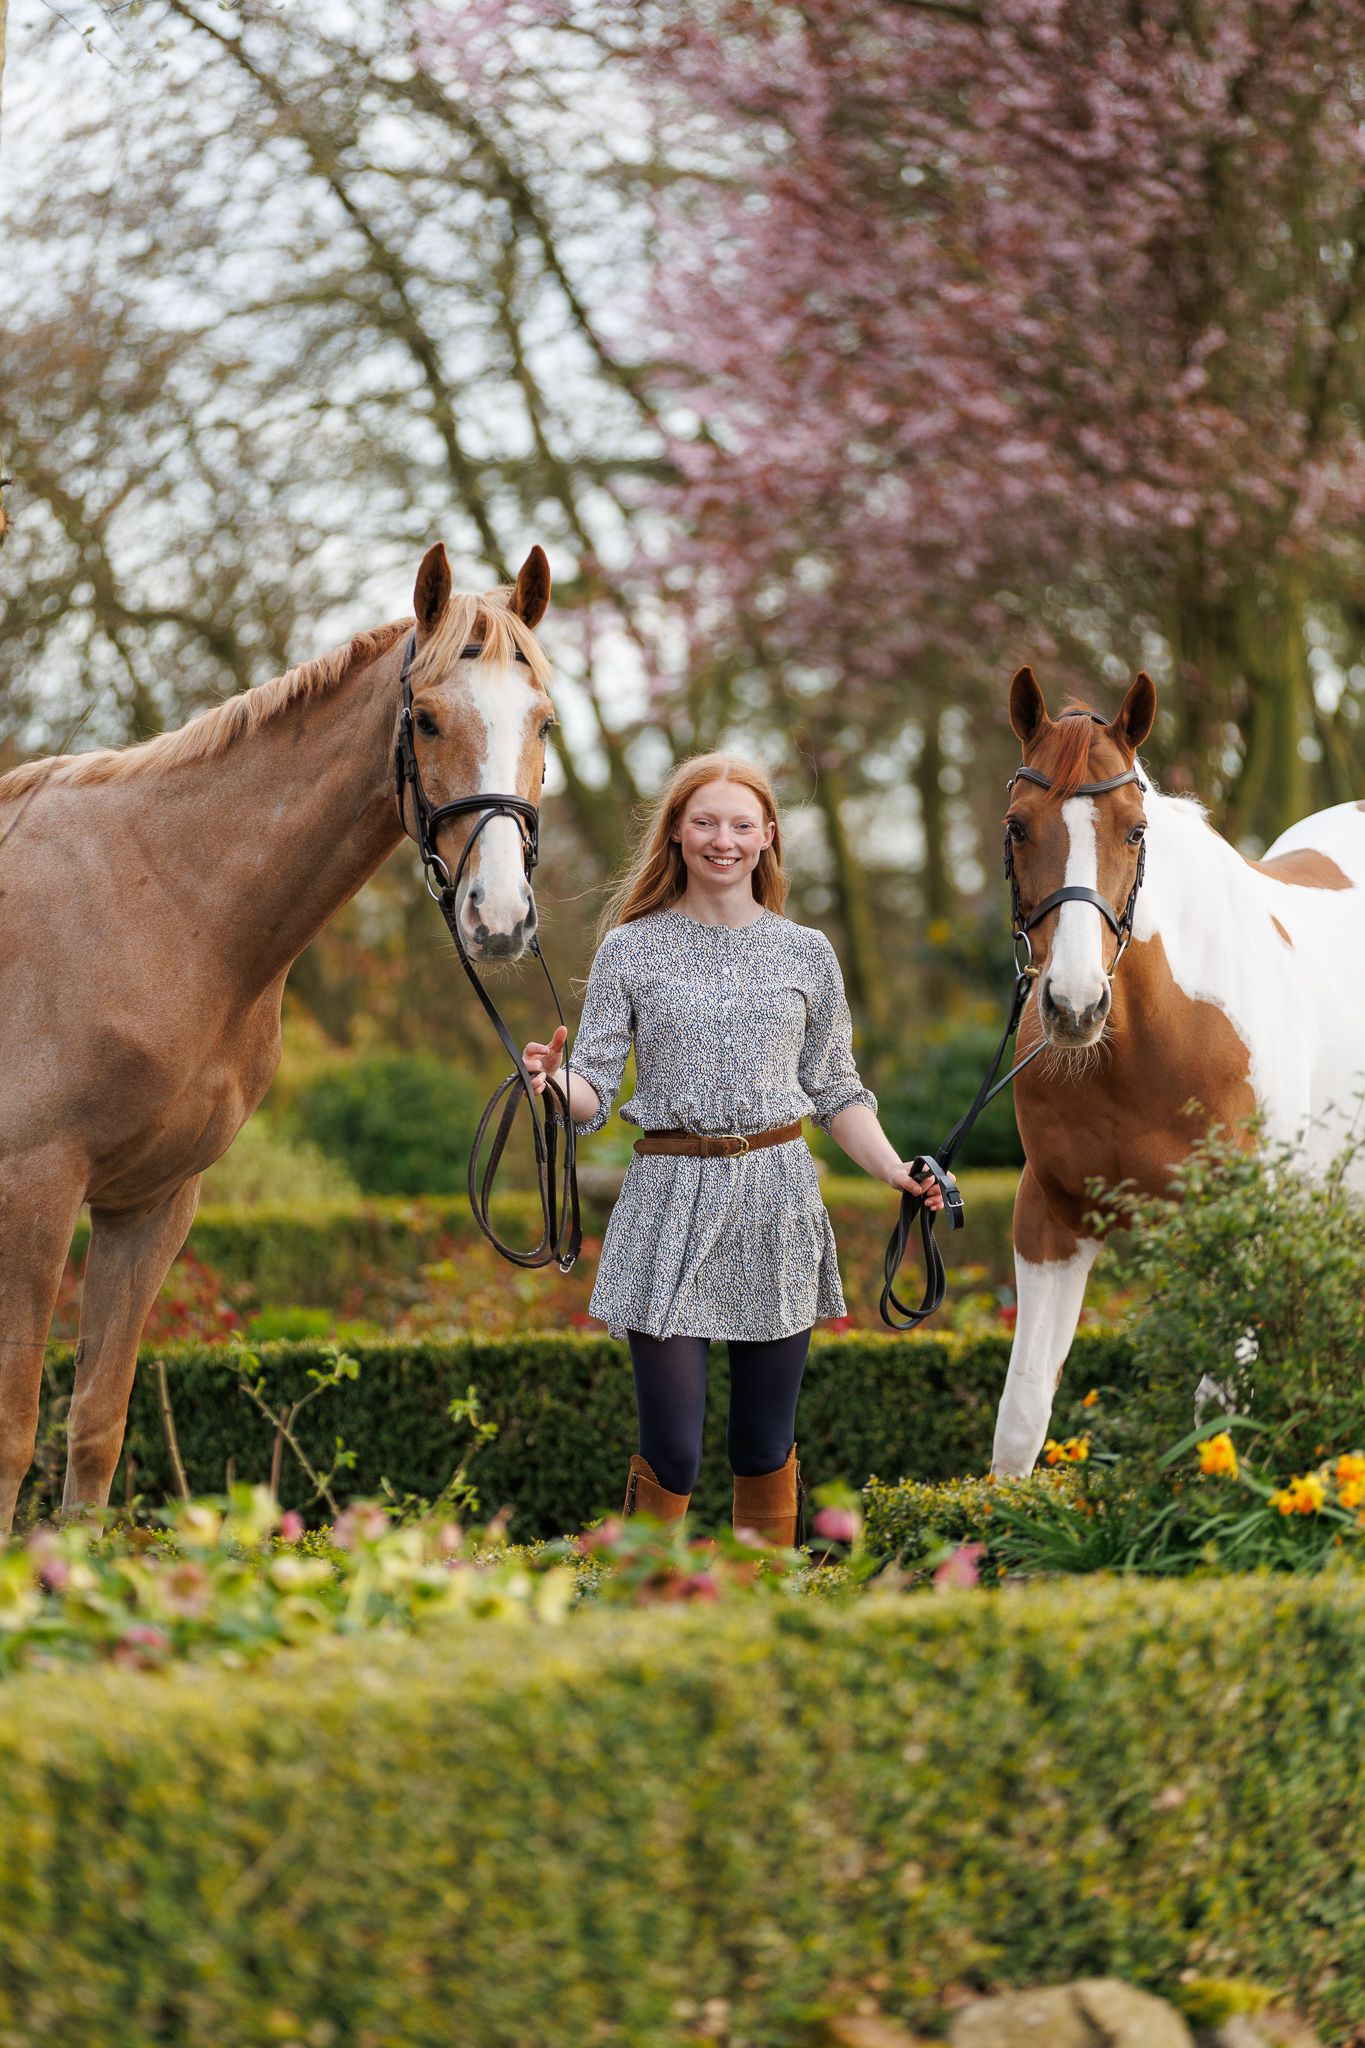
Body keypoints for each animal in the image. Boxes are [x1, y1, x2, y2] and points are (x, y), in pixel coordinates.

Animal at [0, 542, 558, 1529]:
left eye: (543, 723)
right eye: (425, 719)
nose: (497, 918)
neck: (168, 908)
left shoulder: (150, 1204)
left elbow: (95, 1428)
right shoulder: (35, 1188)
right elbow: (14, 1433)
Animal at [992, 665, 1365, 1475]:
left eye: (1135, 830)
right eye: (1017, 825)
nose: (1073, 1005)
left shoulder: (1245, 1230)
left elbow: (1218, 1416)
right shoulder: (1052, 1216)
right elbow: (1022, 1416)